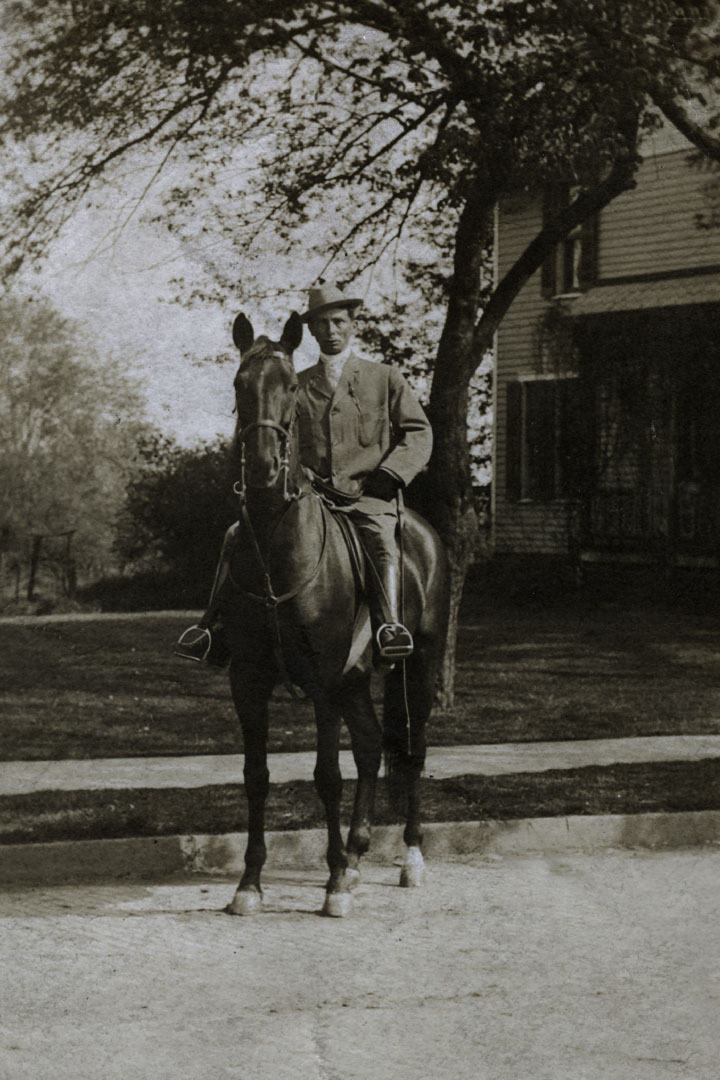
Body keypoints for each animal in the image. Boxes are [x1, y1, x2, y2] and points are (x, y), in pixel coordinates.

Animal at [220, 308, 446, 915]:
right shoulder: (248, 681)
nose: (263, 469)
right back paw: (360, 854)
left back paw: (408, 857)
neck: (278, 548)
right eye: (239, 385)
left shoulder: (323, 680)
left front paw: (332, 881)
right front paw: (250, 883)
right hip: (355, 681)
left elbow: (326, 775)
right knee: (369, 749)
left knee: (411, 750)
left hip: (419, 664)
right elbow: (255, 775)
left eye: (291, 389)